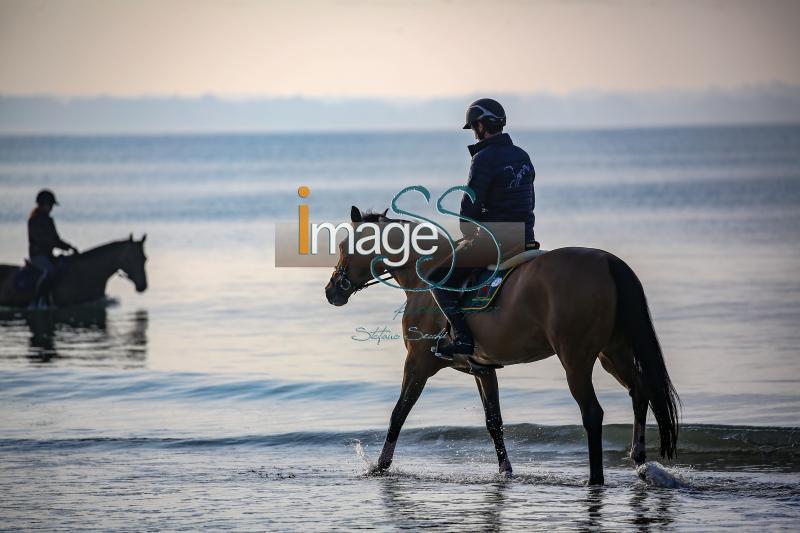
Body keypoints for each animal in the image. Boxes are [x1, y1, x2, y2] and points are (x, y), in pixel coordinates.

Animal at [326, 208, 680, 486]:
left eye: (345, 245)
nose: (332, 291)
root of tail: (608, 261)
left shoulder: (418, 364)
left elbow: (399, 412)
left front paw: (380, 466)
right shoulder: (482, 369)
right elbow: (493, 422)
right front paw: (505, 472)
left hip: (576, 360)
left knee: (593, 412)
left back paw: (595, 479)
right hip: (613, 352)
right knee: (640, 390)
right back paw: (639, 460)